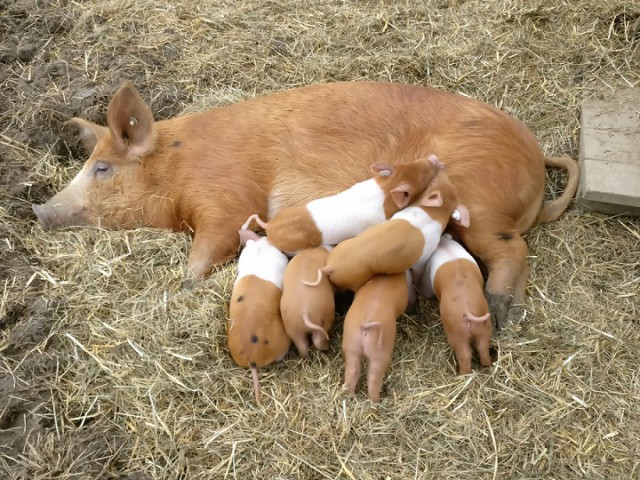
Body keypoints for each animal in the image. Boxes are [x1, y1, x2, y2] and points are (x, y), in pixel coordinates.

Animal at [32, 81, 576, 326]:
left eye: (102, 169)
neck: (179, 167)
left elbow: (212, 243)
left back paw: (501, 311)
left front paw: (184, 286)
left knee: (512, 248)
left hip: (476, 200)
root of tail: (534, 160)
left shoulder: (226, 197)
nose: (38, 211)